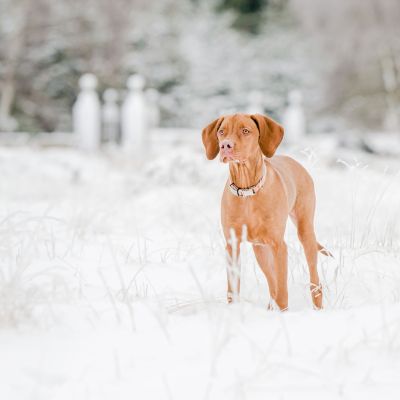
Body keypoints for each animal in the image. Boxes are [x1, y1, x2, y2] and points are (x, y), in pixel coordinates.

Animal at [202, 112, 326, 310]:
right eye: (221, 132)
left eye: (245, 131)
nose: (225, 145)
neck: (247, 190)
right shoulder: (232, 245)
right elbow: (233, 289)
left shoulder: (279, 246)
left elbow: (282, 291)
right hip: (260, 249)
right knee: (272, 282)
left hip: (305, 232)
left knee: (312, 279)